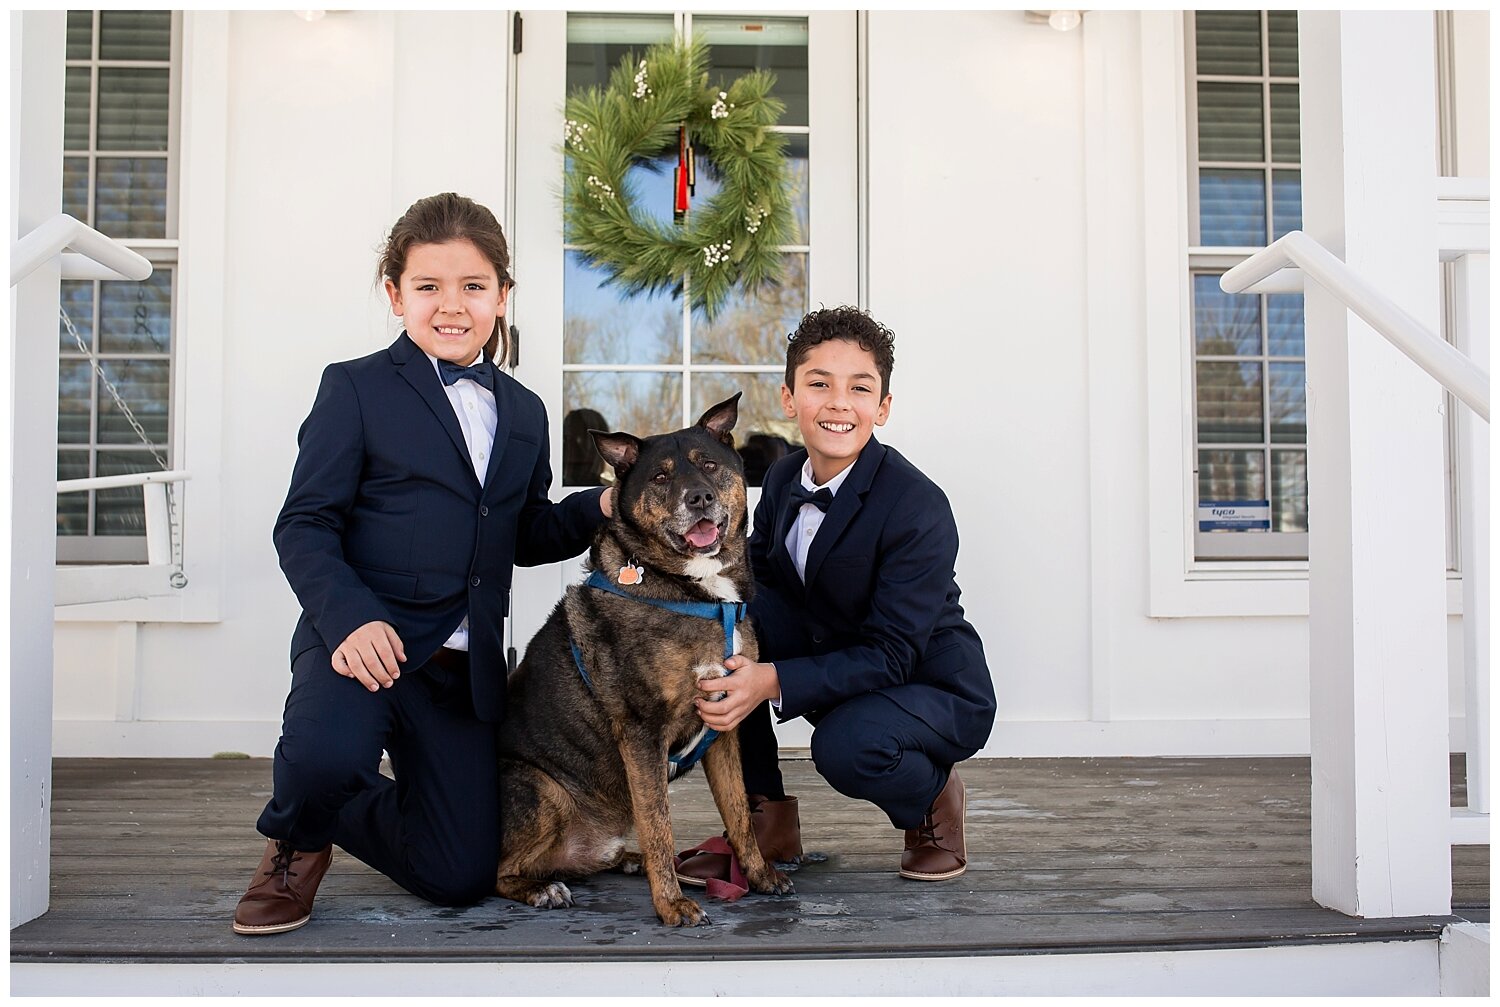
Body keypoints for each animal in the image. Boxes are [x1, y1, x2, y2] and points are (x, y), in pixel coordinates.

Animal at [495, 396, 798, 930]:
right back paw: (542, 889)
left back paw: (625, 860)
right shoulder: (641, 733)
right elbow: (659, 824)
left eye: (708, 466)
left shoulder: (725, 722)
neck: (693, 591)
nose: (698, 498)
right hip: (540, 789)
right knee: (497, 873)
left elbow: (740, 814)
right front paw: (671, 904)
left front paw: (760, 875)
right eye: (660, 477)